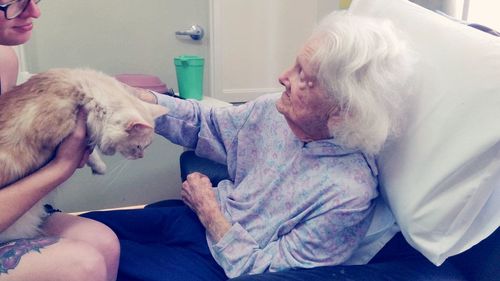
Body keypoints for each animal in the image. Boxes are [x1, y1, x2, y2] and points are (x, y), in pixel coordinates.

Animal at [0, 68, 168, 241]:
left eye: (145, 147)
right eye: (139, 147)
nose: (141, 156)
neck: (85, 93)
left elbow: (93, 153)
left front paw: (99, 167)